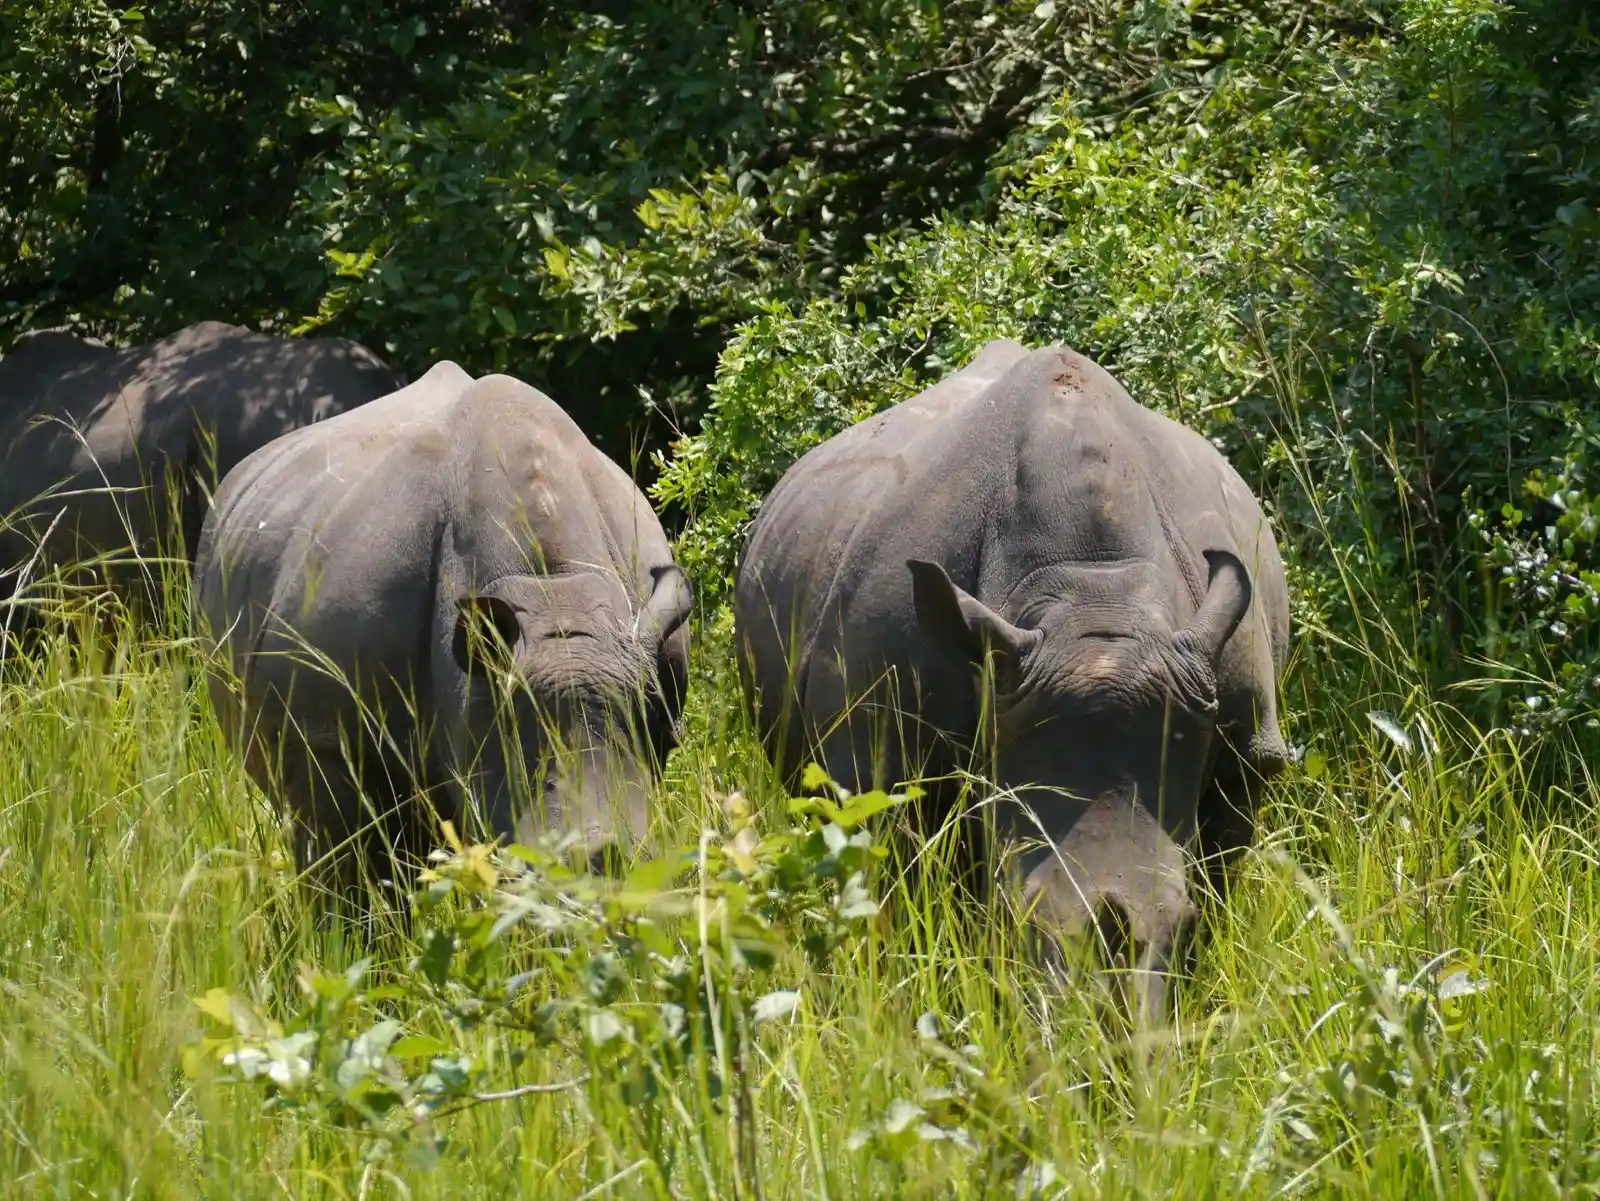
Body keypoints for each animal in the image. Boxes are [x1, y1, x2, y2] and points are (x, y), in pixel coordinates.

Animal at [733, 339, 1289, 1020]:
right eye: (1008, 915)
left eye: (1185, 926)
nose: (1094, 1040)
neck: (1094, 593)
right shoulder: (874, 762)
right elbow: (894, 904)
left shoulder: (1244, 751)